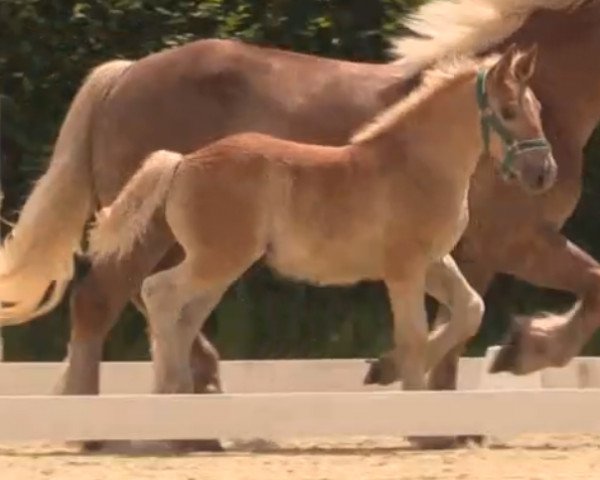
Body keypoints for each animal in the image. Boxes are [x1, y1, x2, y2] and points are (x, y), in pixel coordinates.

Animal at [90, 49, 556, 398]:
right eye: (508, 110)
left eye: (536, 107)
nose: (544, 173)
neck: (417, 164)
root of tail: (183, 162)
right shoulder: (403, 268)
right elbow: (414, 335)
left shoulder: (434, 262)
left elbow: (469, 310)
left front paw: (382, 370)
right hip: (216, 261)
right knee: (158, 292)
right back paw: (170, 395)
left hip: (221, 268)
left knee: (182, 316)